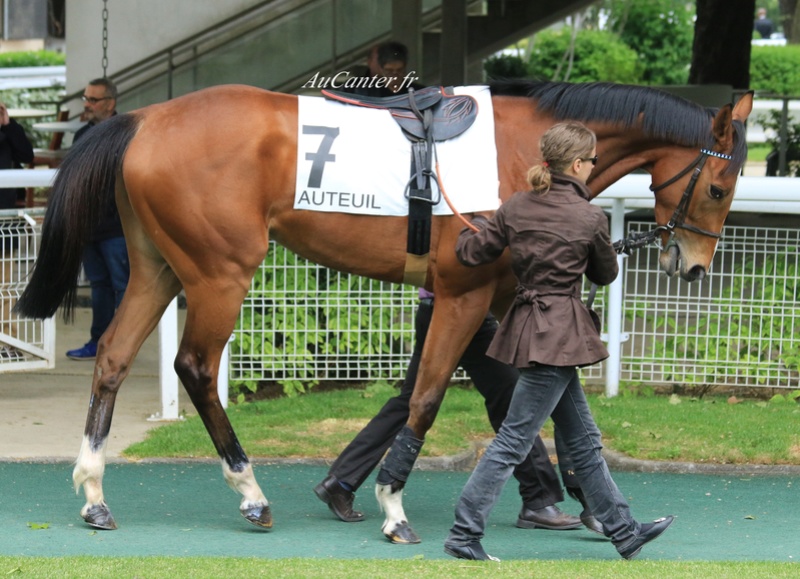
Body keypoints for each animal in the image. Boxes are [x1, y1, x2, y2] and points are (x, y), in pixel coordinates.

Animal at [12, 81, 752, 544]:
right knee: (194, 366)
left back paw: (95, 493)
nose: (691, 266)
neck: (525, 150)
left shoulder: (507, 297)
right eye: (719, 186)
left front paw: (594, 507)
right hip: (220, 272)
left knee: (112, 356)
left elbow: (556, 398)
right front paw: (393, 506)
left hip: (157, 266)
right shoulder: (463, 294)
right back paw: (250, 492)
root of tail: (144, 118)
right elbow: (427, 395)